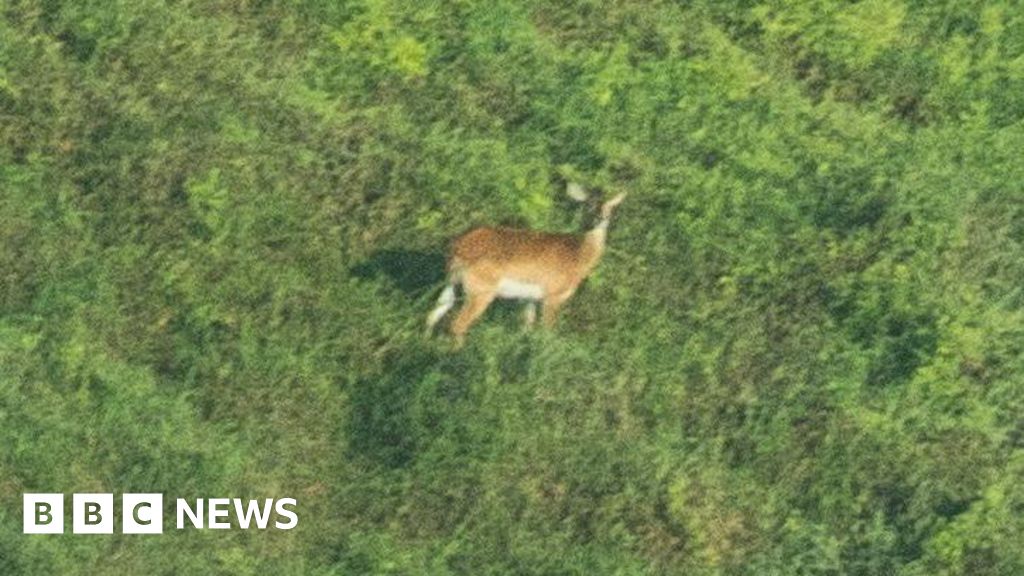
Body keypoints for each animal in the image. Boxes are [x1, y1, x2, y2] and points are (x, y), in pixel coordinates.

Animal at [426, 187, 626, 346]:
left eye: (610, 206)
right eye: (588, 204)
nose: (601, 218)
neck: (577, 256)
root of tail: (457, 246)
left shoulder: (530, 299)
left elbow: (527, 329)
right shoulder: (552, 297)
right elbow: (547, 333)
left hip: (452, 283)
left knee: (433, 315)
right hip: (480, 291)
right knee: (457, 324)